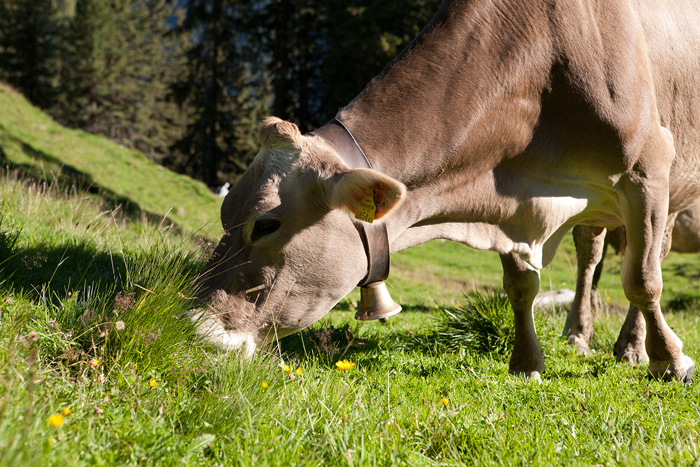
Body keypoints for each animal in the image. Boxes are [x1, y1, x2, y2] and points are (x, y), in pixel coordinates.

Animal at [194, 0, 700, 380]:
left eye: (266, 224)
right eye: (224, 213)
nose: (196, 329)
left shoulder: (648, 169)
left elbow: (643, 279)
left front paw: (670, 361)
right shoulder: (504, 200)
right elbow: (520, 286)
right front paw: (526, 363)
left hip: (671, 189)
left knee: (649, 257)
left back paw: (632, 346)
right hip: (598, 210)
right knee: (589, 255)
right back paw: (578, 334)